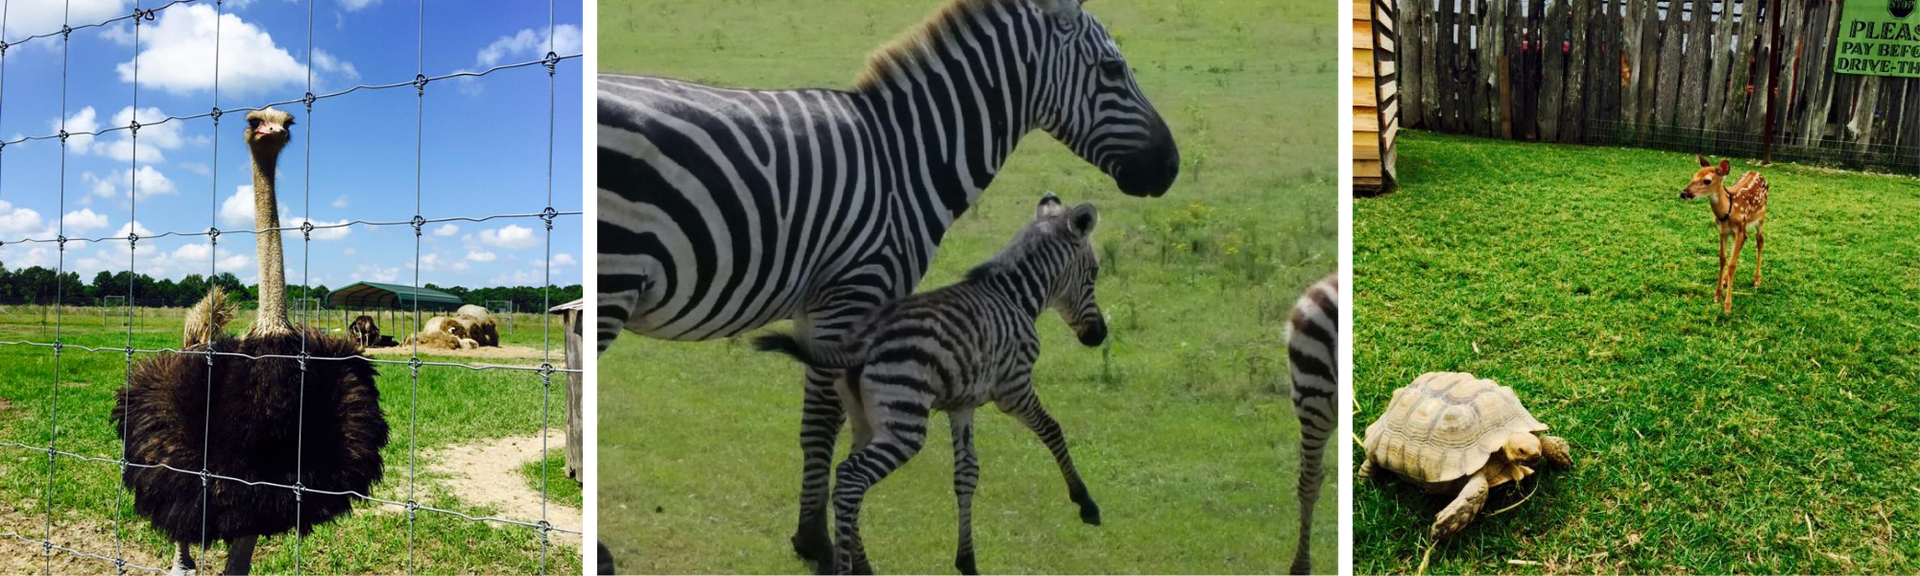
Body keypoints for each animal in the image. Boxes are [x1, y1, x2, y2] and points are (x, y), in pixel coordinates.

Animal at [755, 193, 1105, 576]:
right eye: (1094, 273)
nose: (1098, 336)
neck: (1014, 296)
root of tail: (861, 343)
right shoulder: (1013, 387)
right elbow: (1052, 429)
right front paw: (1085, 502)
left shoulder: (962, 404)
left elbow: (967, 474)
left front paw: (967, 561)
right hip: (904, 424)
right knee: (850, 479)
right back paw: (846, 568)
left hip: (867, 421)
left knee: (845, 477)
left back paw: (861, 563)